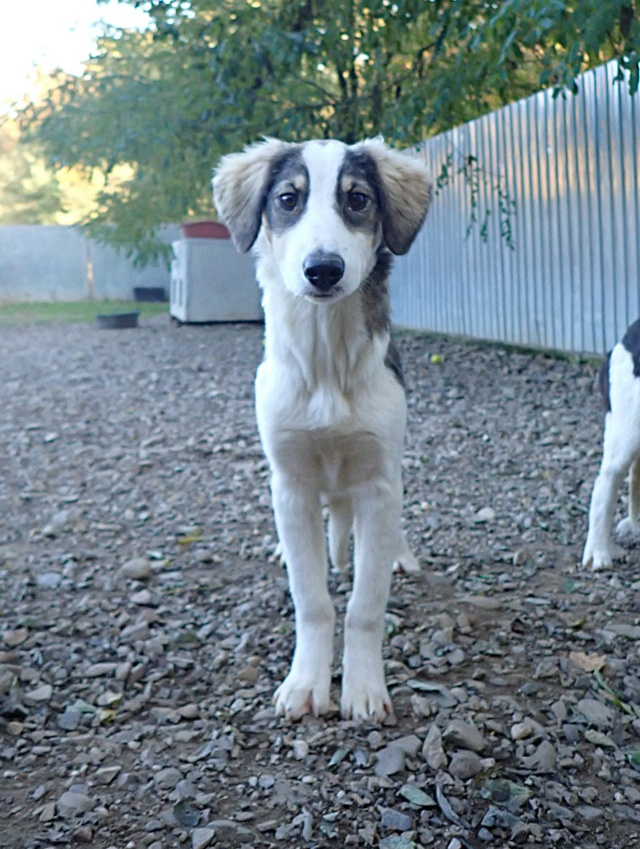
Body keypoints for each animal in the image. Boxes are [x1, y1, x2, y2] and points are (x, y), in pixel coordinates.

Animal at [212, 137, 432, 716]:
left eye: (357, 199)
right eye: (288, 199)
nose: (324, 270)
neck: (327, 363)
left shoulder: (378, 482)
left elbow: (364, 605)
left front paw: (363, 688)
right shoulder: (291, 483)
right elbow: (311, 599)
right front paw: (305, 683)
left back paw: (401, 553)